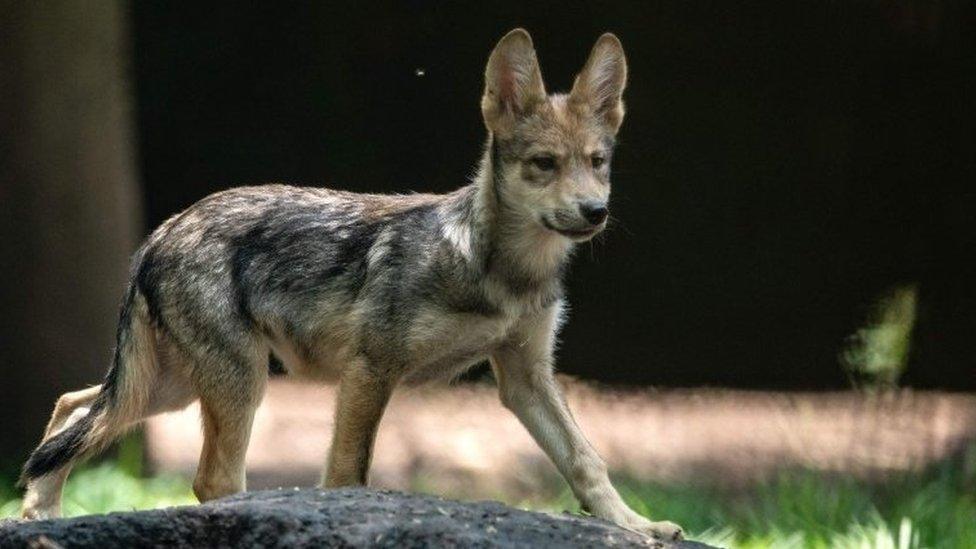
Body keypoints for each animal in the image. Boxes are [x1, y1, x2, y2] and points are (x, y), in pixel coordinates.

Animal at [19, 30, 684, 540]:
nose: (595, 212)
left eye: (597, 162)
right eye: (544, 164)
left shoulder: (527, 378)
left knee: (71, 408)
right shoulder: (370, 369)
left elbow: (586, 460)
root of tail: (161, 231)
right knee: (208, 476)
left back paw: (38, 517)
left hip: (168, 389)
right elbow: (347, 475)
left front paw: (635, 526)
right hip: (233, 384)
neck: (503, 272)